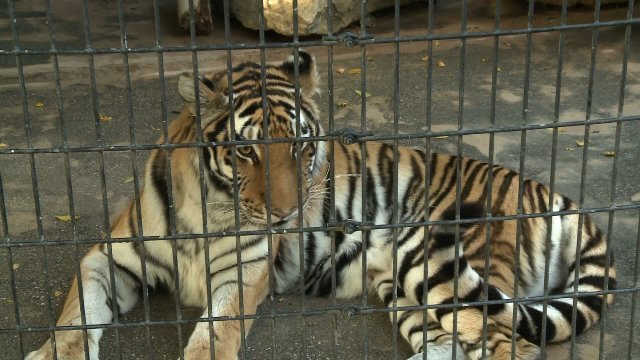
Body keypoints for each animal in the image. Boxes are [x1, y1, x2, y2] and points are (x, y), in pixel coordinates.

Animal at [26, 50, 616, 360]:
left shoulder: (242, 275)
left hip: (442, 267)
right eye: (245, 150)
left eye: (302, 147)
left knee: (506, 345)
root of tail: (558, 196)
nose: (287, 216)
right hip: (405, 289)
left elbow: (214, 332)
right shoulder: (106, 258)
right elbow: (75, 317)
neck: (207, 210)